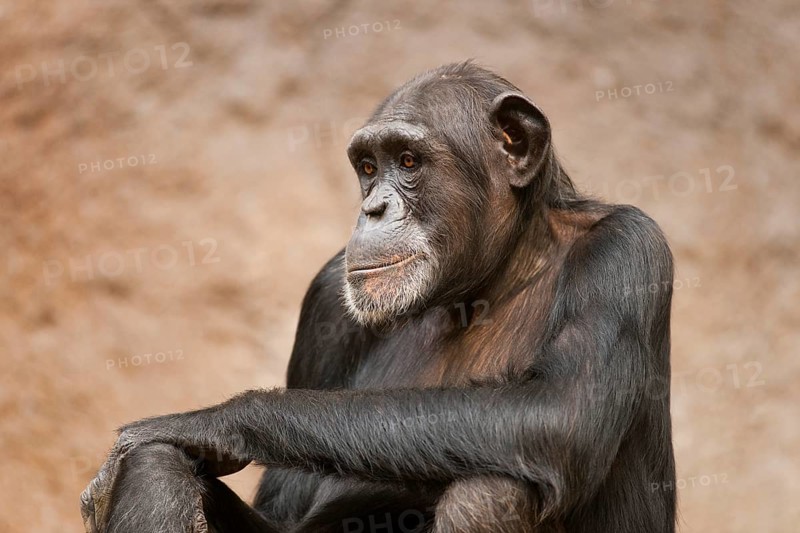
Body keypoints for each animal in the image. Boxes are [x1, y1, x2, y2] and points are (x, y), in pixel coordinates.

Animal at [81, 61, 676, 533]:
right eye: (368, 168)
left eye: (408, 162)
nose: (373, 208)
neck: (482, 284)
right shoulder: (326, 297)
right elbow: (280, 509)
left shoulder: (624, 251)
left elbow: (561, 411)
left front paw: (210, 421)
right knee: (158, 466)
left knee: (492, 489)